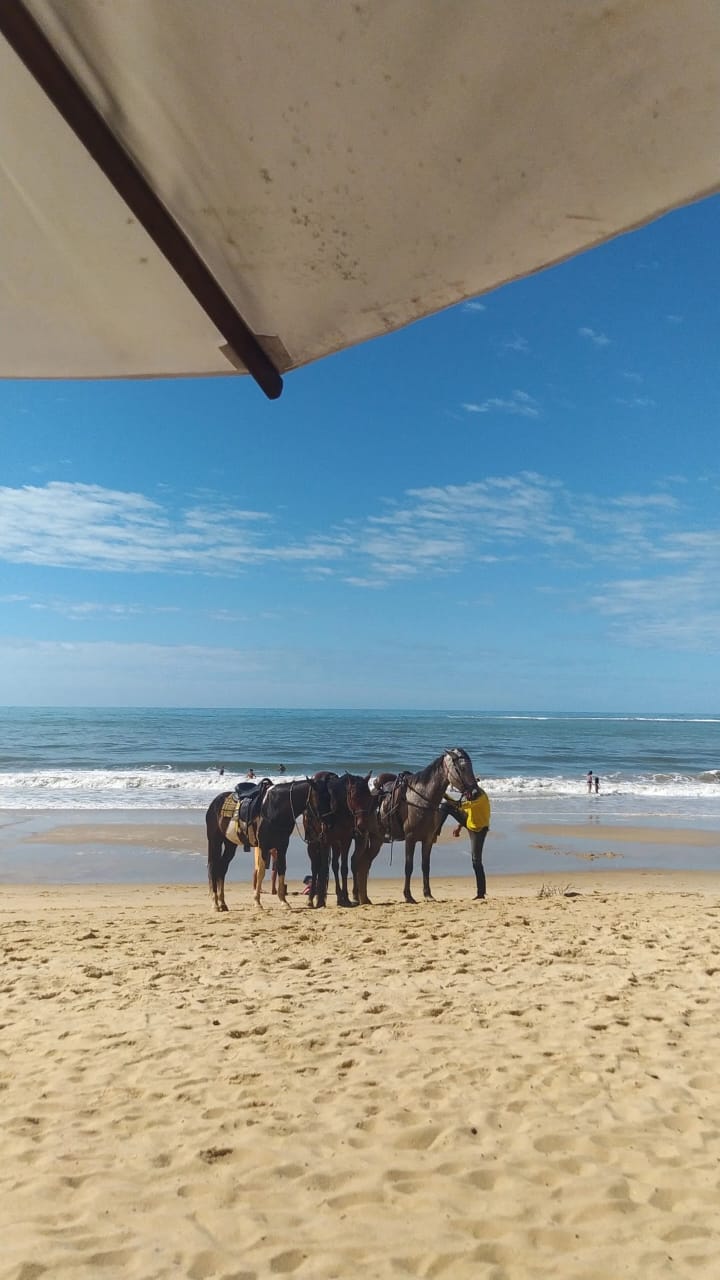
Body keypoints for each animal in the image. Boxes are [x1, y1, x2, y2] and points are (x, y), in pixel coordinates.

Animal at [204, 778, 330, 911]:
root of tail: (214, 802)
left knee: (222, 868)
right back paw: (215, 904)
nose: (326, 824)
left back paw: (222, 903)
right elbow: (261, 872)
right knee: (212, 867)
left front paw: (284, 902)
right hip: (214, 841)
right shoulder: (264, 846)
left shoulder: (282, 847)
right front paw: (257, 902)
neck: (275, 808)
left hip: (230, 844)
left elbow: (282, 869)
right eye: (319, 798)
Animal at [302, 768, 371, 911]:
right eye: (353, 796)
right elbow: (322, 868)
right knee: (316, 867)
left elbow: (343, 867)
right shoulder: (324, 840)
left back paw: (340, 897)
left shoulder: (345, 840)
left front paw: (346, 898)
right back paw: (311, 899)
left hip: (336, 843)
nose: (362, 824)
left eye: (369, 797)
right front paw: (320, 901)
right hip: (313, 842)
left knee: (334, 865)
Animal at [351, 747, 476, 906]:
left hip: (376, 840)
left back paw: (365, 898)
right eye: (462, 768)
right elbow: (408, 867)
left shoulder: (427, 840)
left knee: (365, 863)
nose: (474, 792)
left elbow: (425, 866)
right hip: (363, 837)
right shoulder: (410, 839)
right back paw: (357, 897)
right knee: (358, 862)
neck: (421, 799)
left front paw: (428, 894)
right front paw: (408, 896)